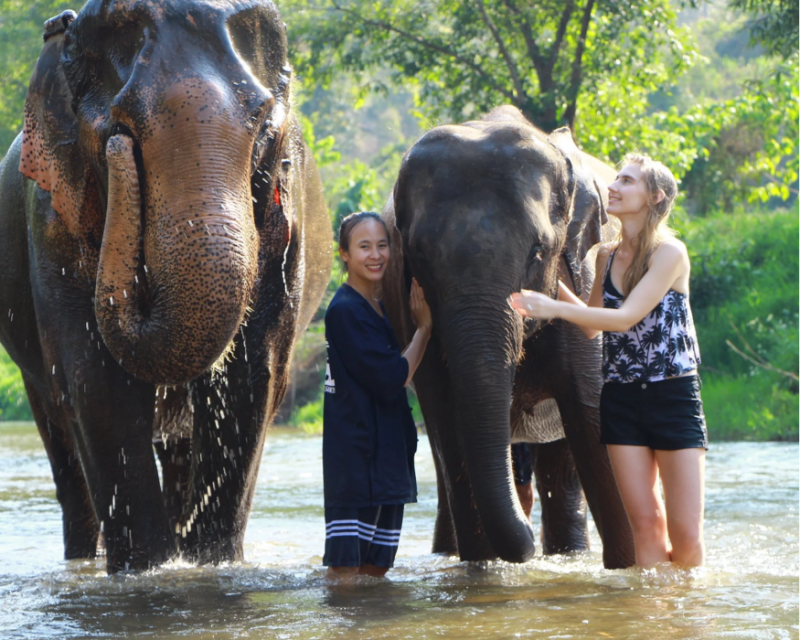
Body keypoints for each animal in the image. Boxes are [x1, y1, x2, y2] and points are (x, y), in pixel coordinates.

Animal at [0, 0, 331, 573]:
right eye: (119, 126)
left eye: (265, 129)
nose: (119, 151)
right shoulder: (50, 215)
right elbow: (96, 381)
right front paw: (146, 570)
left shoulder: (286, 221)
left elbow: (253, 376)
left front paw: (213, 565)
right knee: (58, 430)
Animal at [381, 105, 635, 568]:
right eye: (420, 255)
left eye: (538, 251)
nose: (526, 546)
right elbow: (448, 426)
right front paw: (482, 571)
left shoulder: (585, 279)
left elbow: (592, 419)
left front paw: (633, 568)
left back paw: (567, 556)